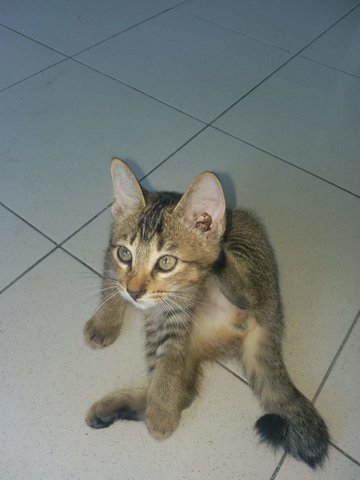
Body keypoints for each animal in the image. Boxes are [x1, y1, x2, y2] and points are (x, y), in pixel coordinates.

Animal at [83, 159, 330, 466]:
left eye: (166, 262)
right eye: (126, 255)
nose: (135, 293)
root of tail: (271, 317)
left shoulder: (176, 310)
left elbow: (168, 364)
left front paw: (162, 412)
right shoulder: (113, 255)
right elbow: (111, 280)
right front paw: (105, 320)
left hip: (246, 249)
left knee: (246, 292)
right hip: (169, 329)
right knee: (184, 392)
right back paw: (119, 408)